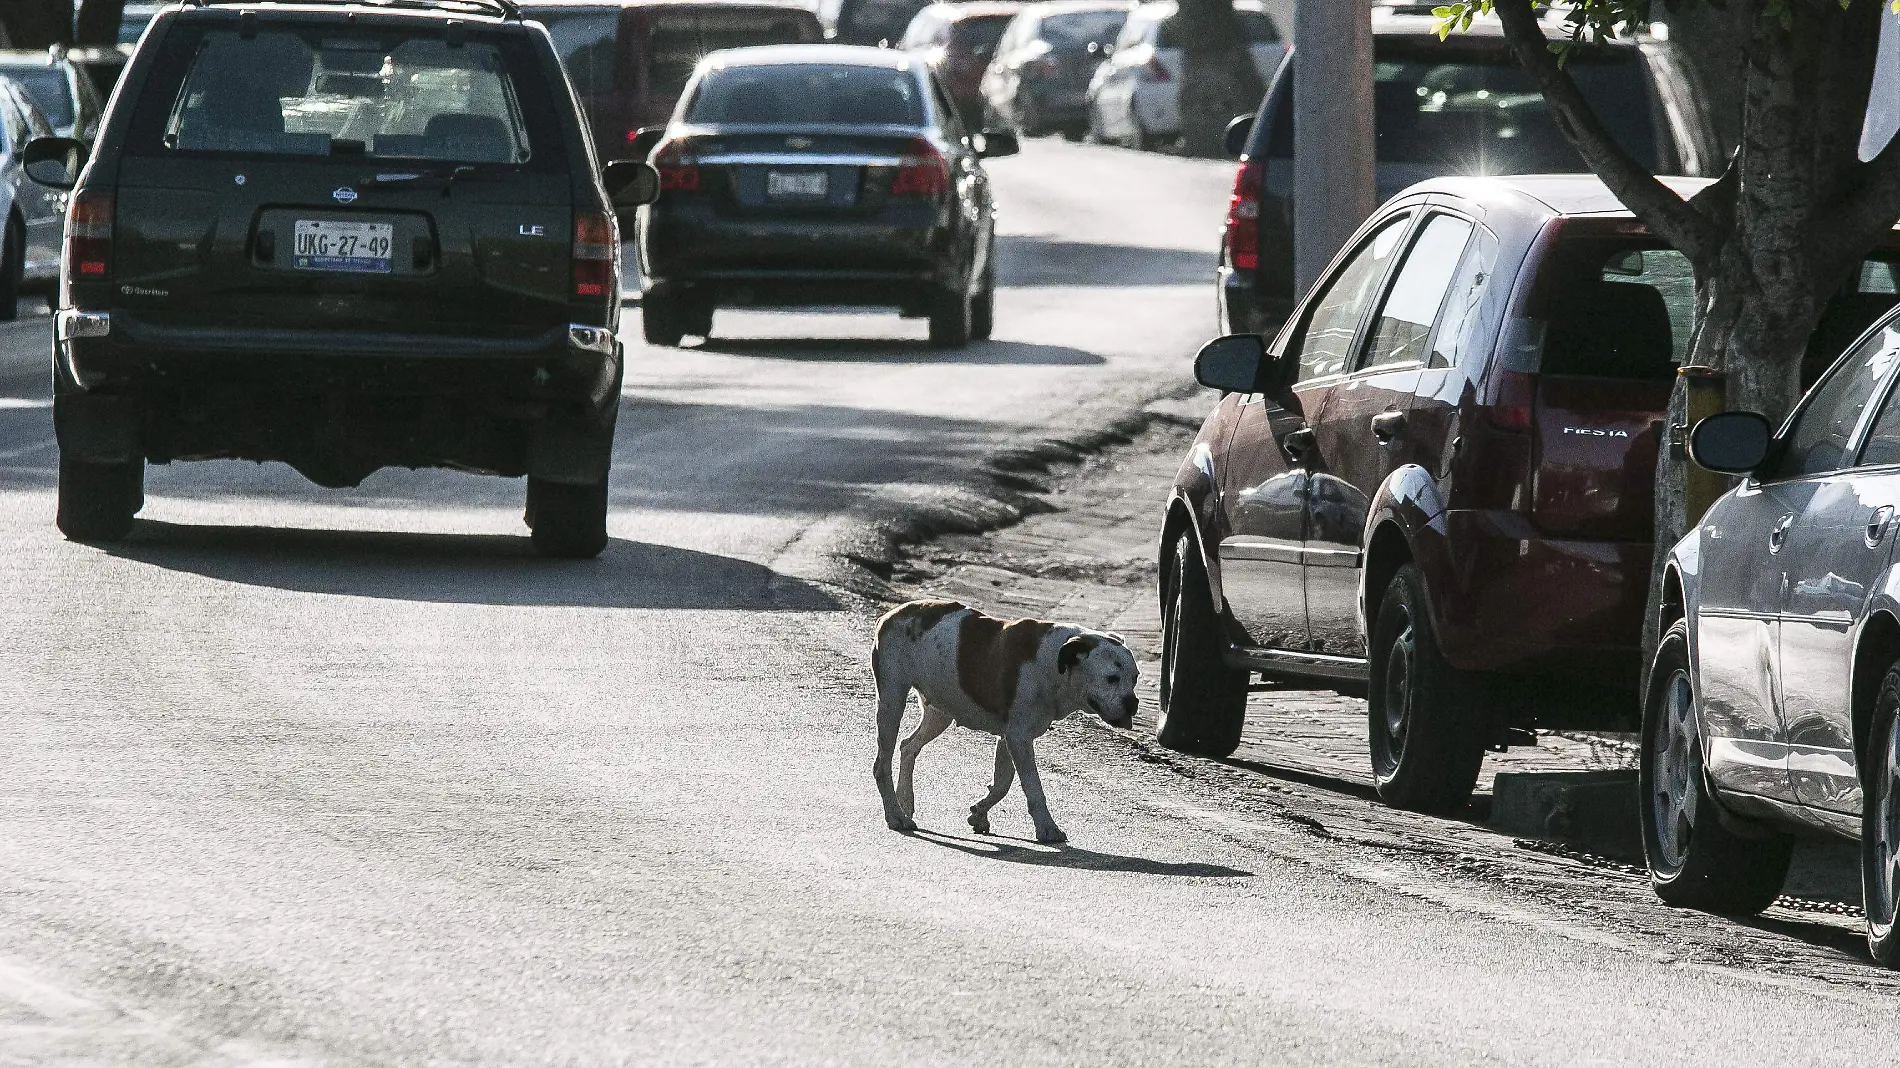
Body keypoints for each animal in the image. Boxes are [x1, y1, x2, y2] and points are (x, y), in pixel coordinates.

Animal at [874, 600, 1140, 839]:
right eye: (1111, 678)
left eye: (1135, 677)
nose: (1133, 703)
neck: (1053, 664)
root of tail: (891, 615)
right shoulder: (1019, 739)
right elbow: (1033, 787)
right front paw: (1047, 829)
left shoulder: (1009, 738)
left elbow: (1003, 783)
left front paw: (979, 813)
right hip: (891, 705)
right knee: (882, 764)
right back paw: (895, 815)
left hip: (939, 714)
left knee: (908, 746)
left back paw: (904, 801)